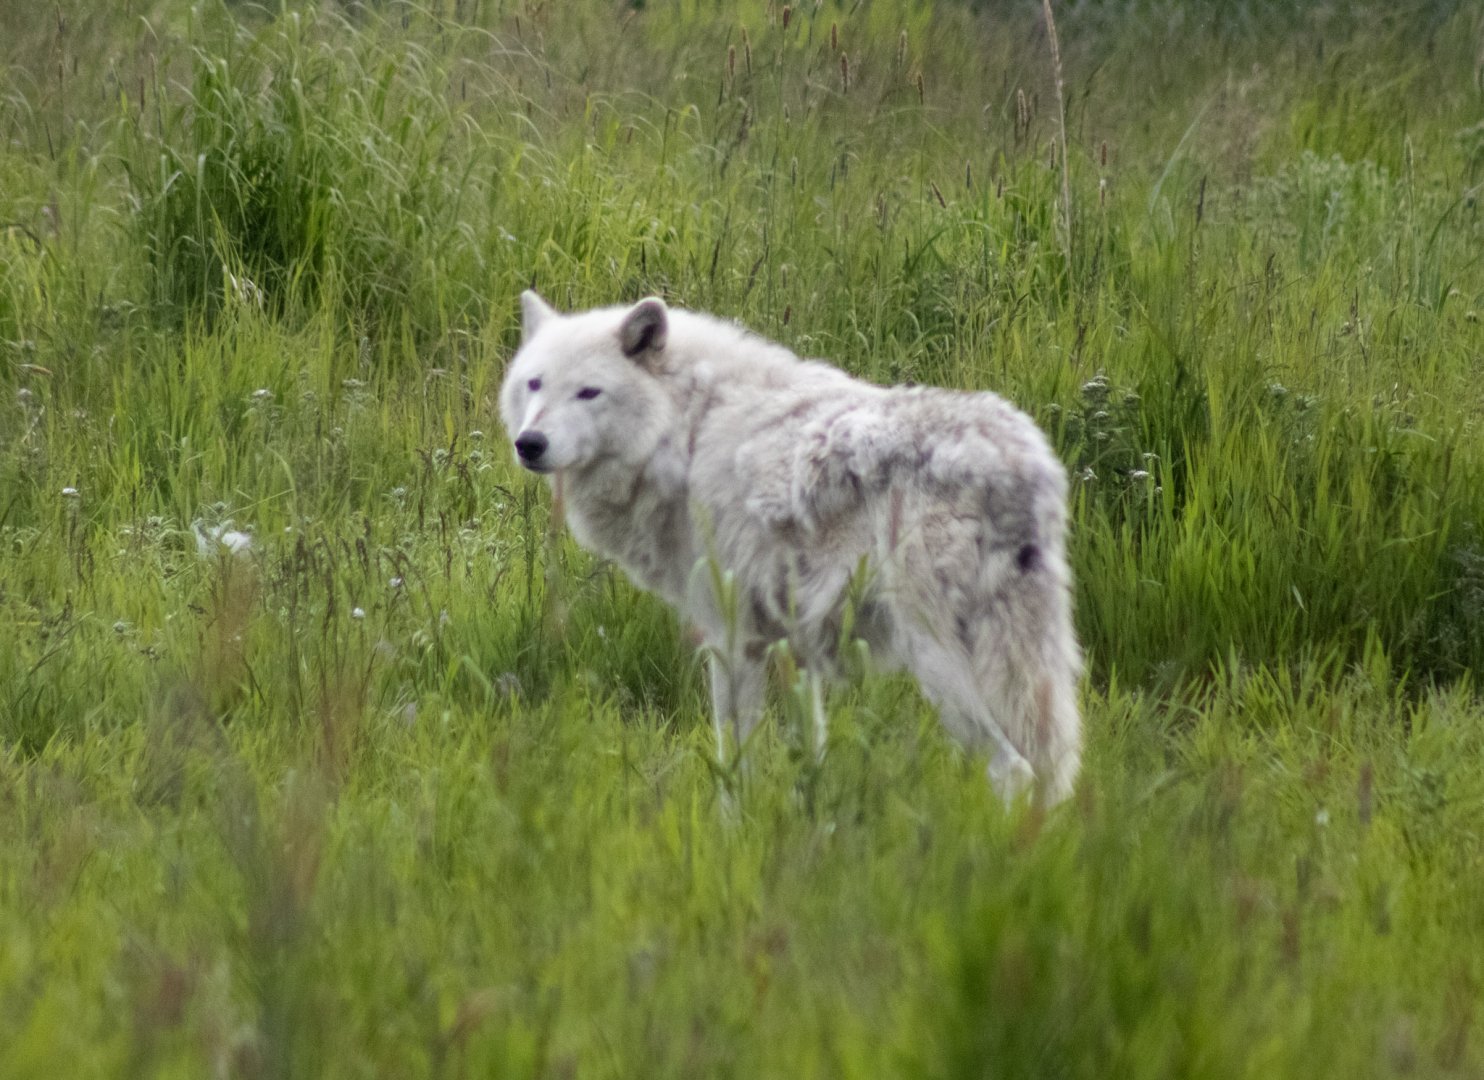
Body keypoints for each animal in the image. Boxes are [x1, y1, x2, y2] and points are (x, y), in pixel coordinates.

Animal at [500, 291, 1082, 805]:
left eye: (588, 393)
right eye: (534, 383)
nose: (529, 444)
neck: (686, 430)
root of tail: (1020, 463)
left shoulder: (731, 638)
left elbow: (735, 764)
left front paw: (735, 838)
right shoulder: (797, 649)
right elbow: (811, 760)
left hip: (936, 661)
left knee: (1016, 769)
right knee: (1052, 770)